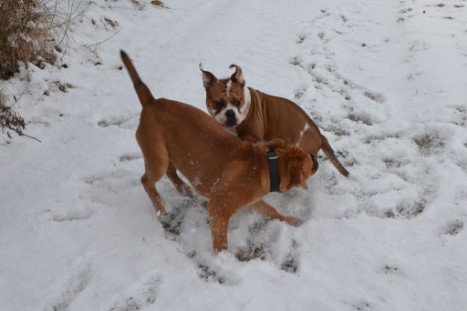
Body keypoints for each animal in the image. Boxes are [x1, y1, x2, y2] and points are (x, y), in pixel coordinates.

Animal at [120, 51, 320, 254]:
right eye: (307, 166)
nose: (314, 157)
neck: (267, 163)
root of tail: (151, 102)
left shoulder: (254, 201)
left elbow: (270, 210)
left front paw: (289, 220)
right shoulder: (218, 209)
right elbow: (221, 240)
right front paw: (222, 257)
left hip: (170, 151)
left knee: (171, 171)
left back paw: (184, 190)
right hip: (157, 158)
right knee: (147, 180)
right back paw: (162, 208)